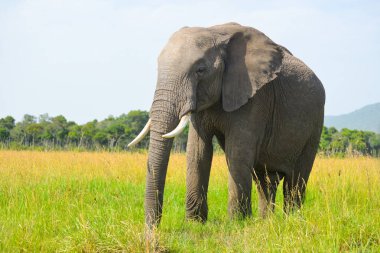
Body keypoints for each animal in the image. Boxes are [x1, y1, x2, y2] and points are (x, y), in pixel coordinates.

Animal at [129, 21, 326, 227]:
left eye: (200, 70)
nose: (151, 229)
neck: (215, 31)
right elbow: (197, 152)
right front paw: (195, 224)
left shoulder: (255, 97)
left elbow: (237, 153)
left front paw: (237, 224)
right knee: (265, 180)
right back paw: (266, 223)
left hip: (314, 125)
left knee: (295, 181)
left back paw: (291, 222)